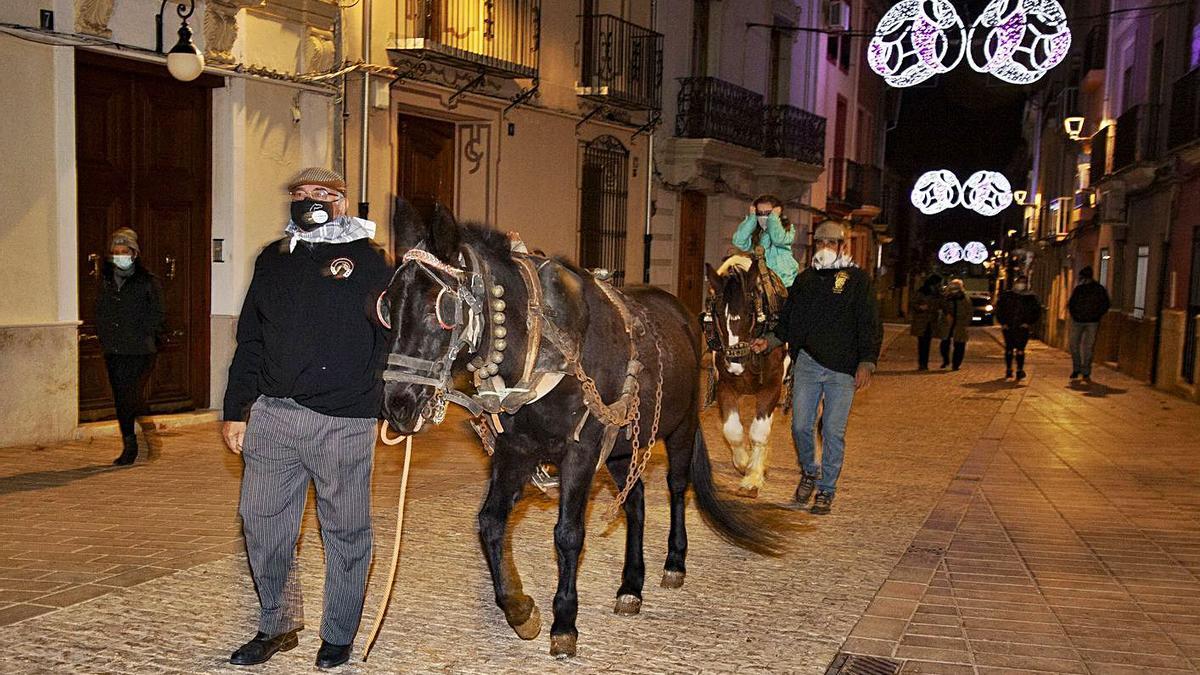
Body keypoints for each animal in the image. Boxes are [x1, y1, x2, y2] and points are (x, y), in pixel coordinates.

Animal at [700, 254, 787, 497]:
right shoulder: (725, 386)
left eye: (750, 312)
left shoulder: (771, 386)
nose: (735, 363)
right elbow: (733, 430)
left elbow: (759, 432)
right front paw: (743, 463)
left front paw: (753, 477)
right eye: (717, 314)